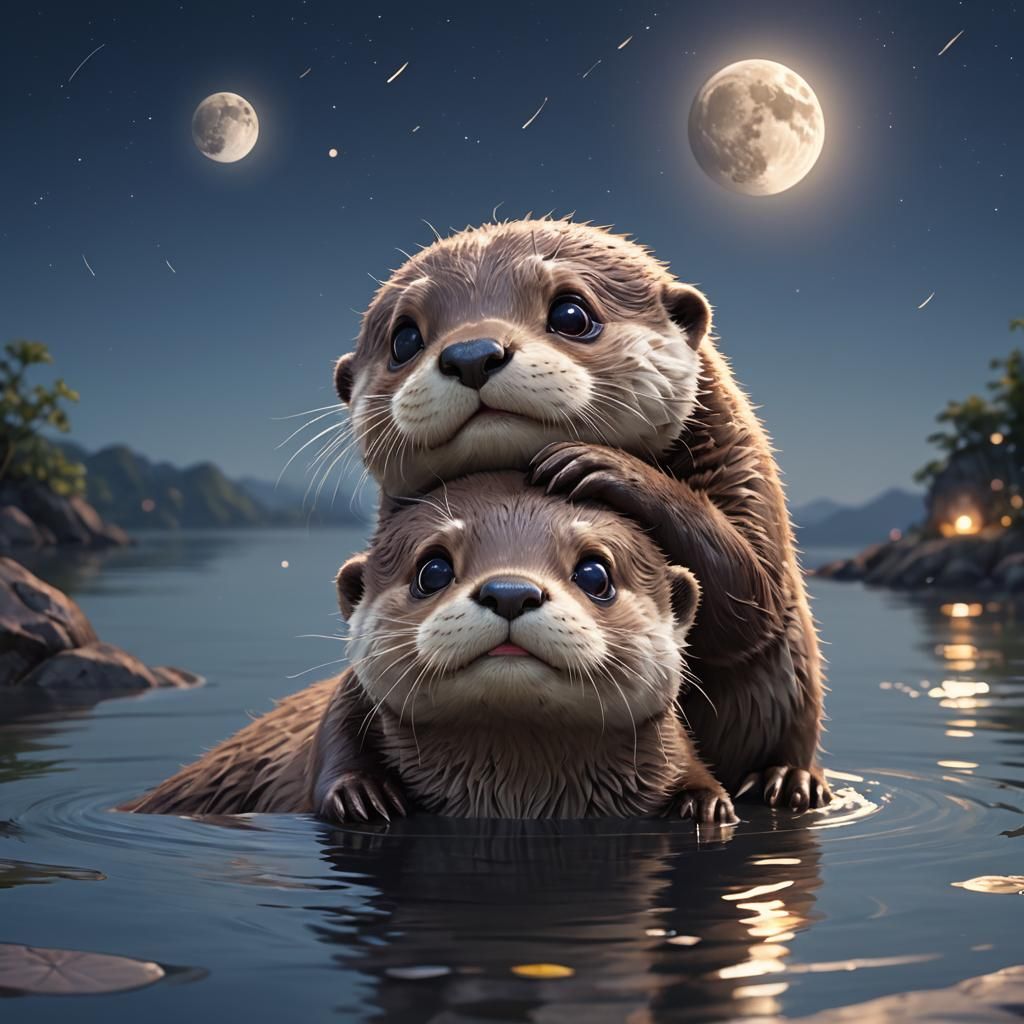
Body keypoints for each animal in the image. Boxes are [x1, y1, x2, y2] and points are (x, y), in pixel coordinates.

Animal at [126, 473, 736, 825]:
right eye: (433, 569)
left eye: (595, 573)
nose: (509, 590)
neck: (516, 793)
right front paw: (362, 797)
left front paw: (705, 803)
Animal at [331, 218, 829, 809]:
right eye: (404, 339)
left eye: (571, 314)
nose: (472, 353)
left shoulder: (746, 480)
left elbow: (752, 598)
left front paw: (599, 463)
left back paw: (788, 779)